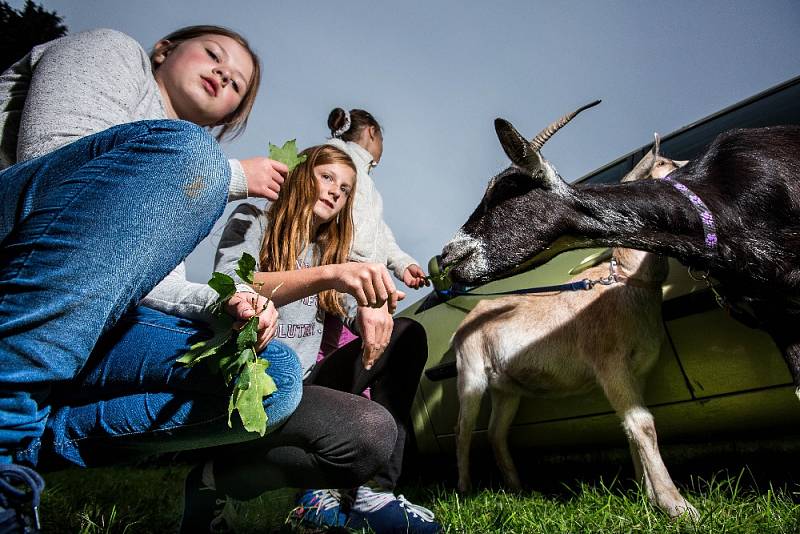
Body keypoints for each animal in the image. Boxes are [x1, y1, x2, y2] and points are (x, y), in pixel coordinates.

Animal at [454, 140, 696, 520]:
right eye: (663, 163)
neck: (624, 281)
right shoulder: (610, 364)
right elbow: (642, 425)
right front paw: (677, 506)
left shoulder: (638, 370)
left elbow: (632, 425)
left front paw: (648, 496)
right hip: (470, 372)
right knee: (463, 432)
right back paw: (464, 489)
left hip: (506, 386)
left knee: (495, 433)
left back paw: (517, 489)